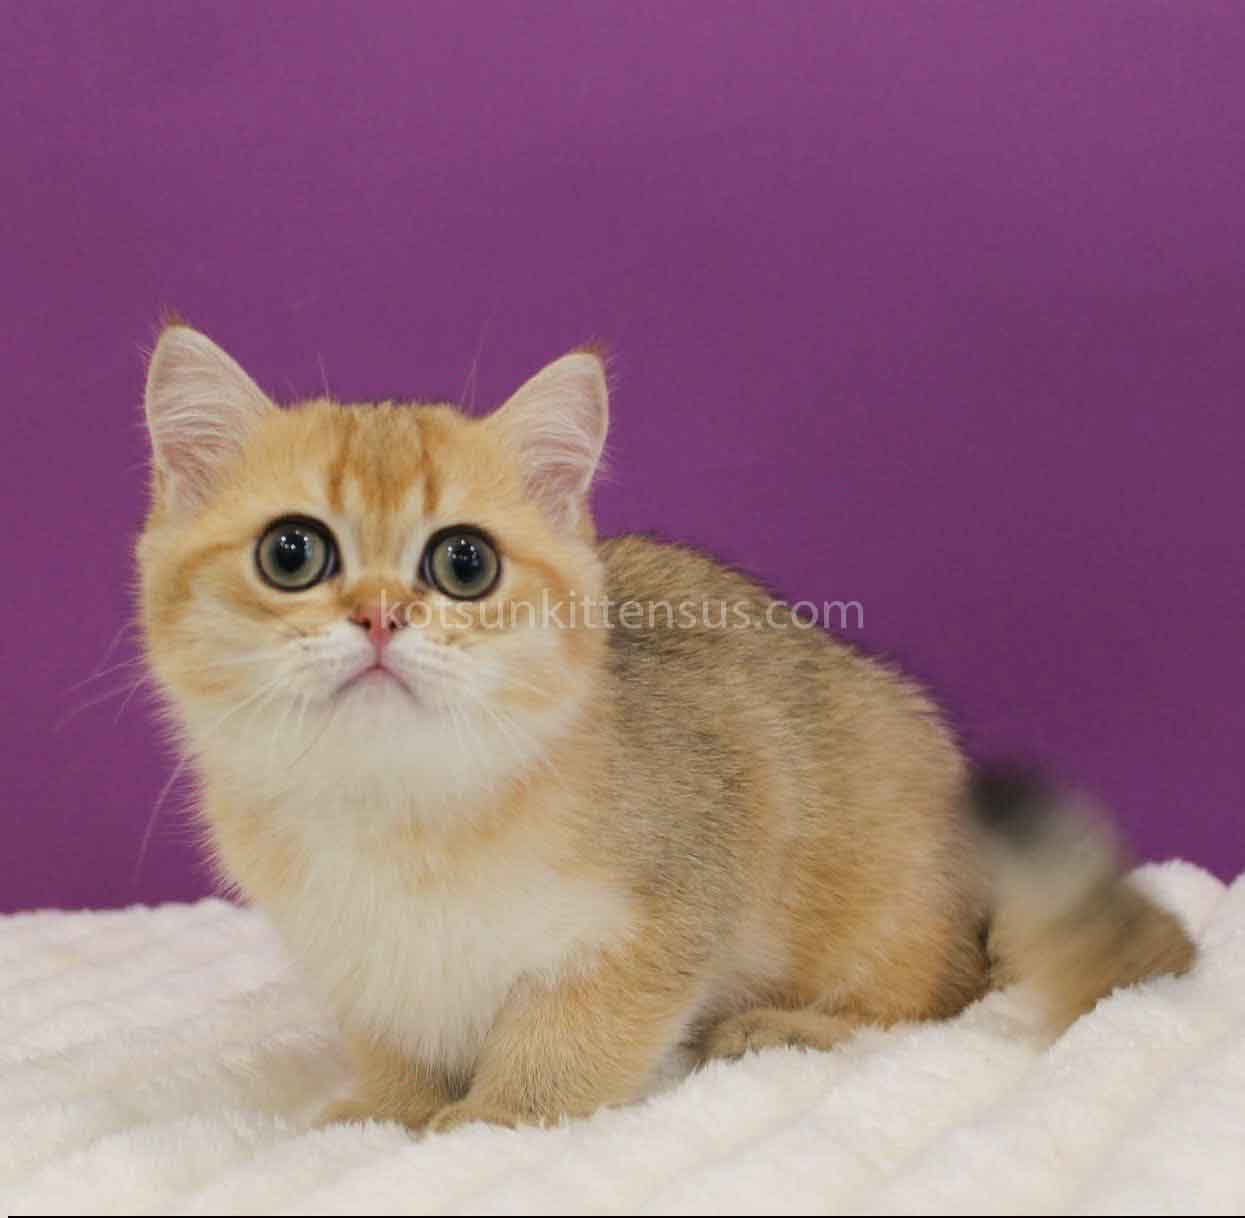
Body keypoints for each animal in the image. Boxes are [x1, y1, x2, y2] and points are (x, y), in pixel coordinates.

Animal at [137, 323, 1195, 1134]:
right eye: (291, 553)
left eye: (464, 564)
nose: (381, 617)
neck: (396, 804)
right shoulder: (363, 965)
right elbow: (396, 1045)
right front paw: (384, 1110)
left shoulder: (672, 903)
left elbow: (570, 1038)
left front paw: (497, 1114)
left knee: (937, 1006)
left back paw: (783, 1028)